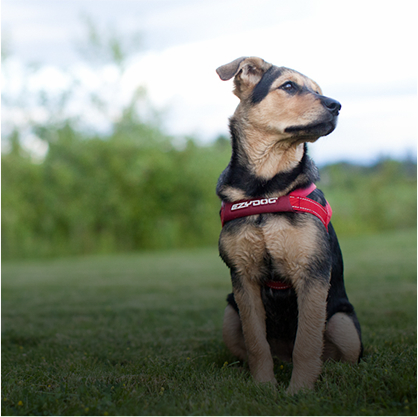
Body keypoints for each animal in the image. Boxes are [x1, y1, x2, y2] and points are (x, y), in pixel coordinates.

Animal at [216, 57, 362, 394]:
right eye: (289, 86)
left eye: (318, 90)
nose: (336, 105)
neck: (266, 187)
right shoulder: (243, 278)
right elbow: (256, 343)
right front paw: (263, 386)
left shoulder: (312, 272)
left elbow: (306, 343)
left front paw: (300, 391)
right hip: (229, 313)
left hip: (343, 322)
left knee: (340, 359)